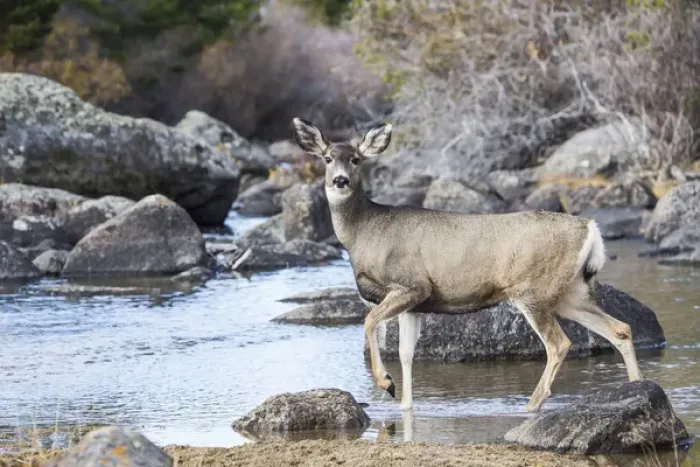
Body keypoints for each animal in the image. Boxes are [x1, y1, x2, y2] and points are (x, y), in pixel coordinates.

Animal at [291, 117, 643, 413]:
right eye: (327, 158)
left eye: (356, 159)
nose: (340, 180)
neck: (364, 231)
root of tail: (590, 229)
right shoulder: (415, 304)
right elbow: (406, 354)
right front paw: (404, 404)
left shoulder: (411, 285)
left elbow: (368, 322)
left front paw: (386, 383)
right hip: (569, 290)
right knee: (620, 328)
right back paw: (637, 388)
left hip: (532, 290)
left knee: (559, 344)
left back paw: (531, 405)